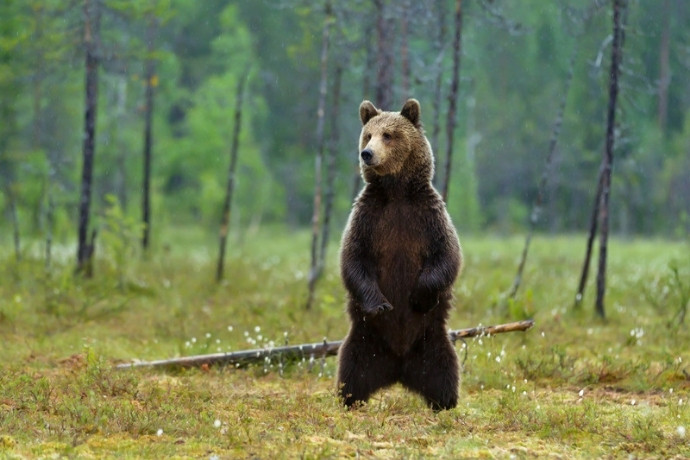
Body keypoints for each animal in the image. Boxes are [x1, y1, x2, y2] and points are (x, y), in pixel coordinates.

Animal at [337, 98, 463, 411]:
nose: (367, 154)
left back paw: (445, 402)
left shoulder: (427, 216)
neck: (395, 193)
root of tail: (398, 367)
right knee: (350, 370)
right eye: (368, 135)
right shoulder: (369, 217)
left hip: (432, 340)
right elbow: (353, 260)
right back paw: (349, 399)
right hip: (364, 341)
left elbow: (447, 256)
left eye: (389, 135)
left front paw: (418, 296)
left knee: (445, 369)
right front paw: (382, 305)